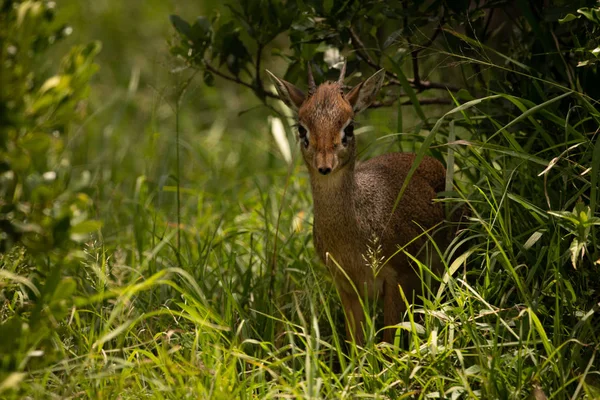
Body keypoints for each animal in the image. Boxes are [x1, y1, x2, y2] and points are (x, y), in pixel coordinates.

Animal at [268, 63, 450, 344]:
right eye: (301, 129)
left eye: (349, 127)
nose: (324, 166)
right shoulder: (346, 286)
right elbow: (356, 343)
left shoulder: (398, 278)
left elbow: (389, 339)